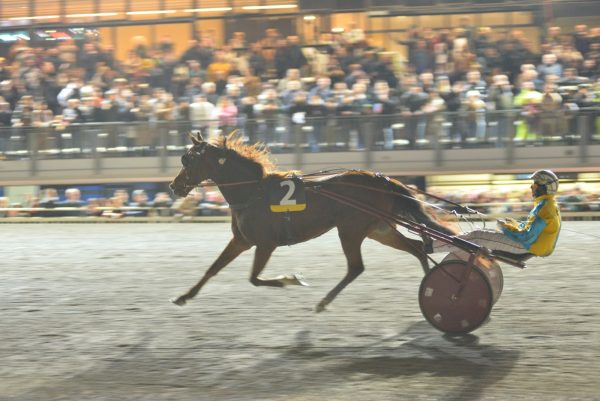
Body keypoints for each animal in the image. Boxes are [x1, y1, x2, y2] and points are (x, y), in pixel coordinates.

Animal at [169, 133, 454, 310]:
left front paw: (290, 279)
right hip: (379, 229)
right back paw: (430, 284)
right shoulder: (241, 241)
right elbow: (213, 268)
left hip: (350, 230)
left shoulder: (265, 244)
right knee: (417, 249)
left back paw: (323, 302)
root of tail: (382, 180)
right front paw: (184, 296)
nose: (173, 186)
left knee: (356, 267)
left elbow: (254, 279)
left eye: (189, 159)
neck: (252, 192)